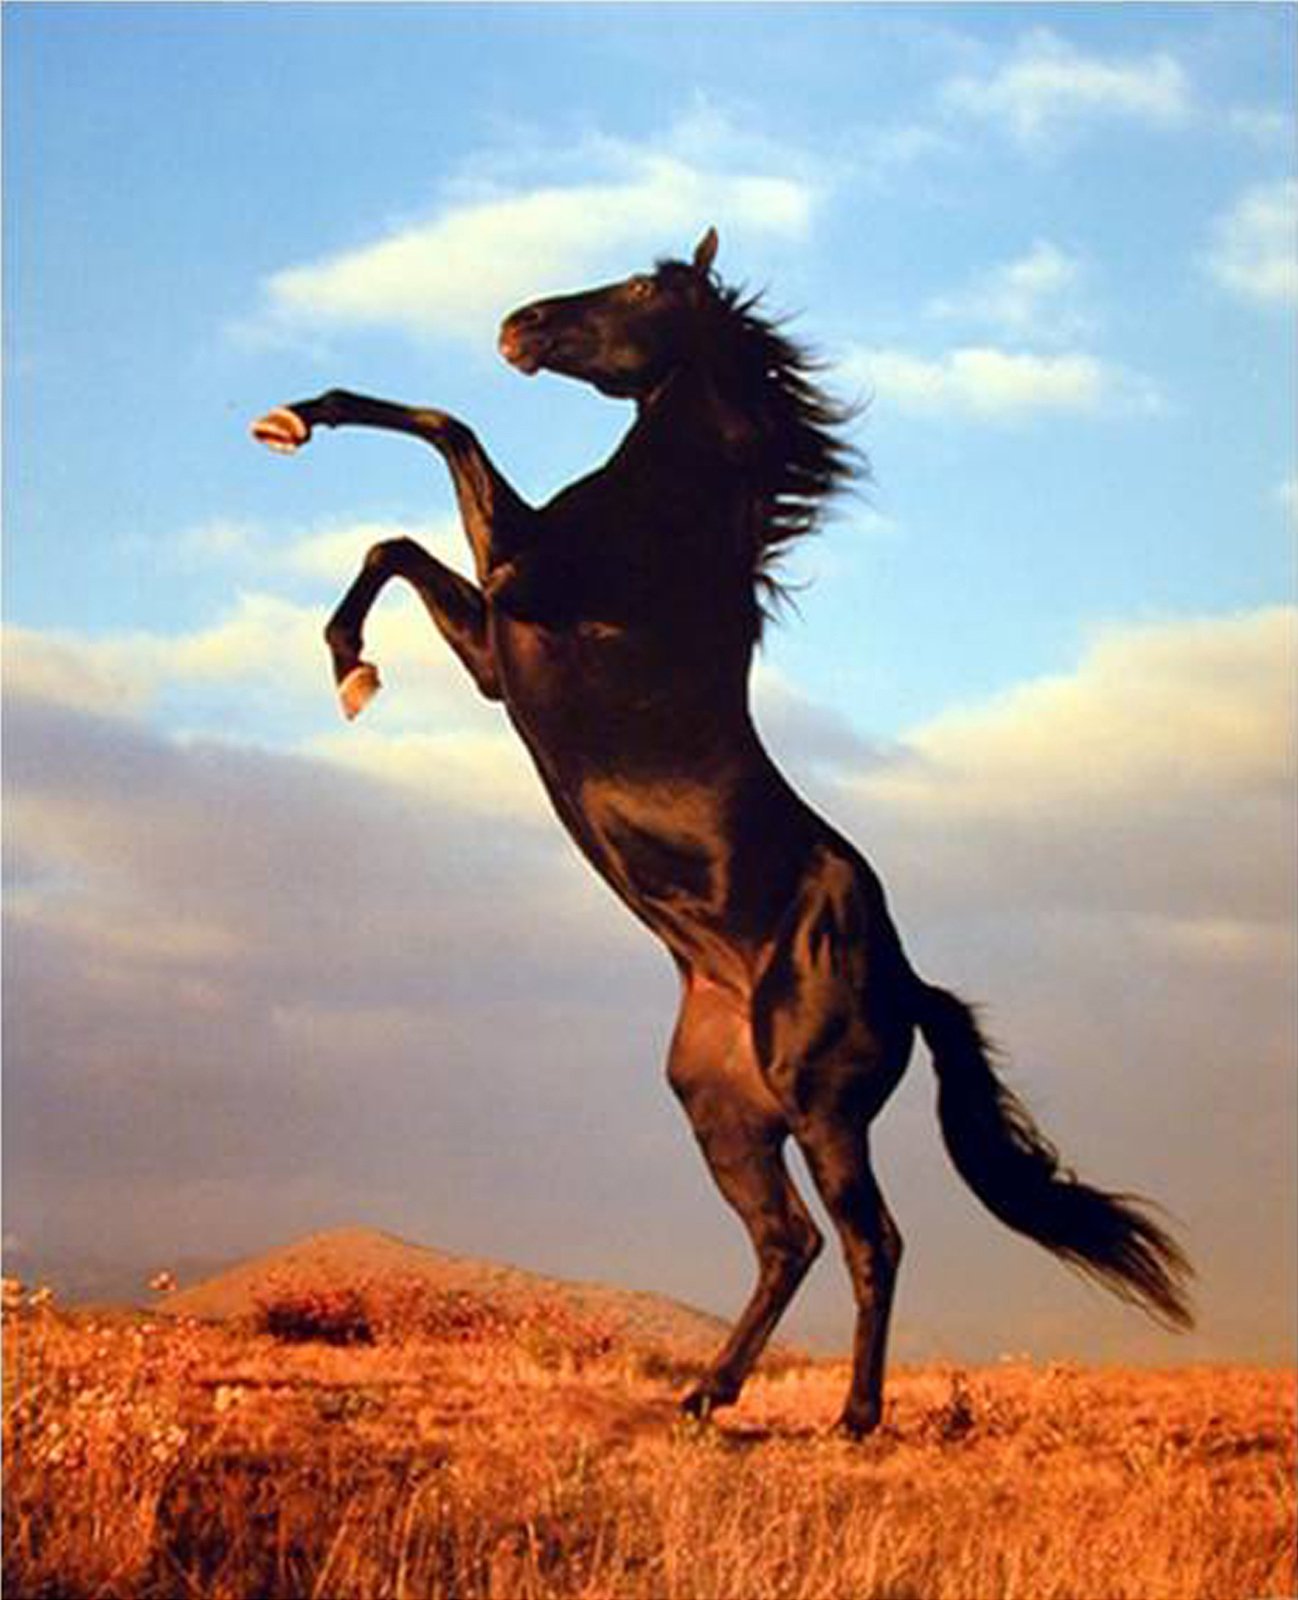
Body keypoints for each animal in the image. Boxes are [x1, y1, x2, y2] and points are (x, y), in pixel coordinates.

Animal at [252, 228, 1191, 1436]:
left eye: (640, 287)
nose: (517, 324)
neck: (677, 522)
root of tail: (911, 982)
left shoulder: (523, 587)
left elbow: (436, 450)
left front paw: (341, 626)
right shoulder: (499, 651)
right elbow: (402, 525)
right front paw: (338, 612)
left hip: (823, 1110)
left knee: (871, 1241)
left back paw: (852, 1419)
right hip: (723, 1112)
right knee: (787, 1241)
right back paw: (707, 1393)